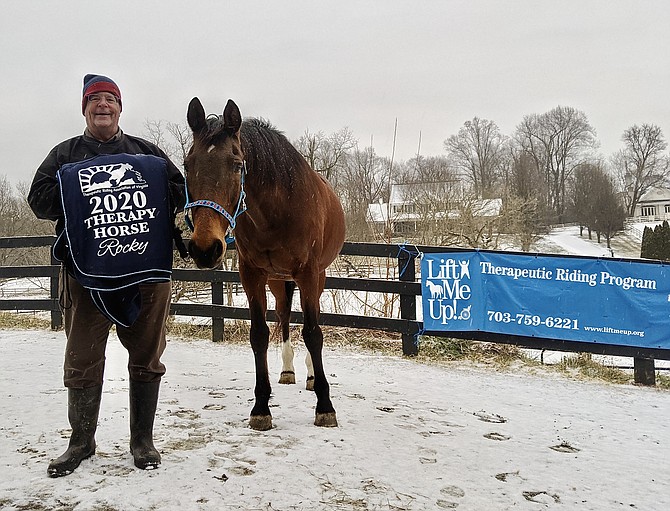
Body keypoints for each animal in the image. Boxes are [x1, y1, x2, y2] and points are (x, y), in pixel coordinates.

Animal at [188, 97, 350, 432]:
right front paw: (261, 407)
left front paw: (325, 407)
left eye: (237, 165)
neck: (277, 210)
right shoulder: (252, 275)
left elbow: (313, 333)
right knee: (285, 315)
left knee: (308, 320)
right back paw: (288, 370)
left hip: (315, 277)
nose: (205, 249)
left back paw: (311, 376)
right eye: (187, 164)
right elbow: (259, 335)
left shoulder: (308, 273)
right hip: (278, 279)